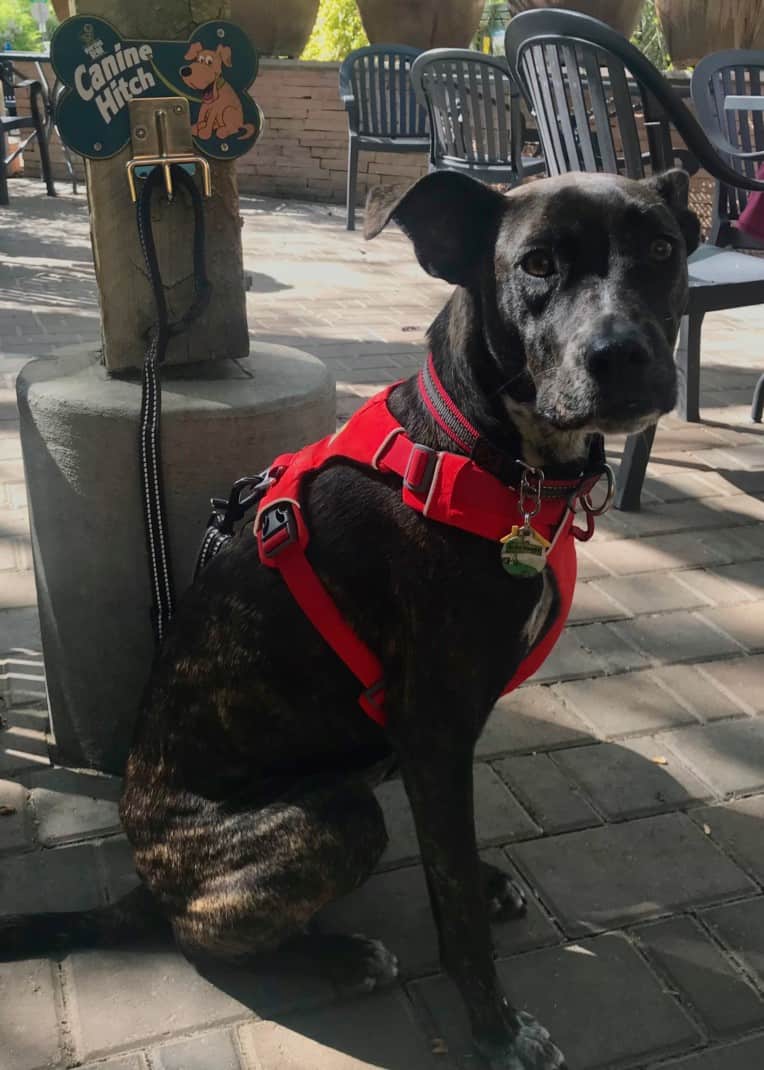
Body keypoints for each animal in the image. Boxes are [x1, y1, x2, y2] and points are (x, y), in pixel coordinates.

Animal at [2, 171, 697, 1065]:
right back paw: (333, 956)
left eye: (663, 249)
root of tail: (145, 878)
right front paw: (495, 1029)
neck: (487, 453)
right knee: (198, 935)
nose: (623, 355)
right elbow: (453, 909)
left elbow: (453, 861)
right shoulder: (434, 732)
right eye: (538, 263)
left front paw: (484, 893)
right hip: (335, 817)